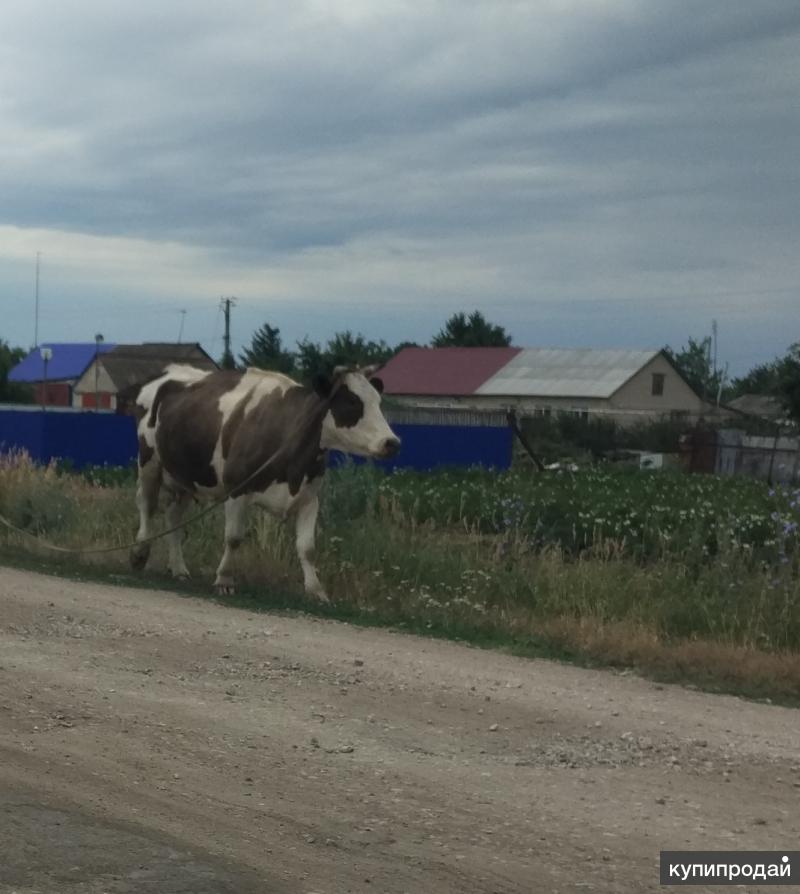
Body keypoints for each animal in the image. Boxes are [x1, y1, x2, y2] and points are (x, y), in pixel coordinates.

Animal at [129, 362, 400, 600]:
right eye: (352, 402)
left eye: (378, 402)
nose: (392, 442)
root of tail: (169, 372)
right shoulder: (237, 491)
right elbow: (234, 537)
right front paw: (224, 579)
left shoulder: (309, 498)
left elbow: (307, 547)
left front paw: (316, 590)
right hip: (149, 461)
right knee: (147, 505)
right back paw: (140, 552)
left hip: (185, 475)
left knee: (173, 517)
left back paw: (179, 568)